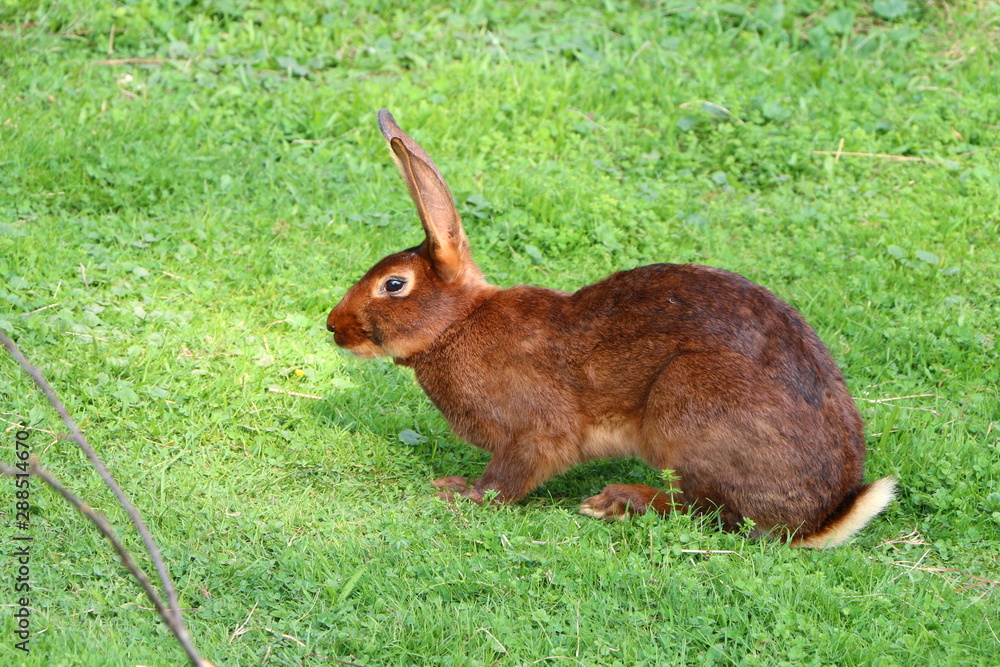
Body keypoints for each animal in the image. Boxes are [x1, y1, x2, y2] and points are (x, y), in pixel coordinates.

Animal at [326, 109, 895, 548]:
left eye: (394, 285)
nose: (333, 326)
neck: (458, 323)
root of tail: (819, 517)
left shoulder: (533, 432)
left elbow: (511, 476)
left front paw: (459, 491)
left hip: (688, 404)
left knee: (714, 512)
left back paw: (618, 501)